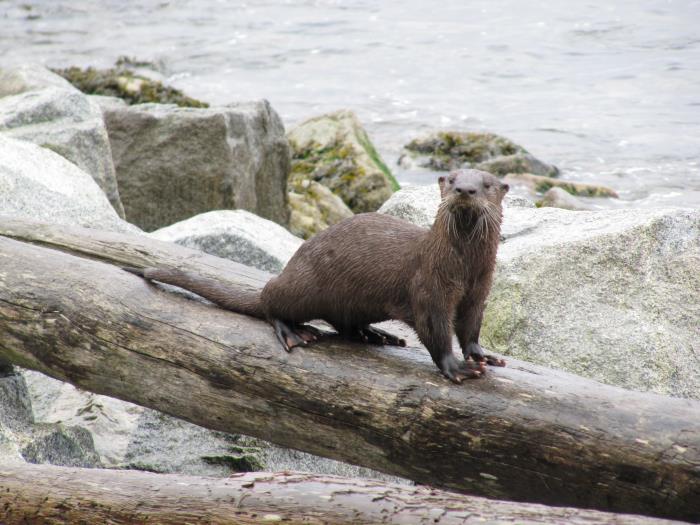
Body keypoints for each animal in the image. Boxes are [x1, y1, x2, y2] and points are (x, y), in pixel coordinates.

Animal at [124, 170, 508, 382]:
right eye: (452, 179)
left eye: (486, 184)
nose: (465, 190)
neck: (463, 268)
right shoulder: (429, 287)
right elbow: (436, 330)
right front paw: (456, 367)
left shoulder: (479, 290)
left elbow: (470, 326)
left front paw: (482, 355)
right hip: (303, 286)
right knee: (272, 301)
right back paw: (294, 331)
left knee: (345, 325)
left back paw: (376, 335)